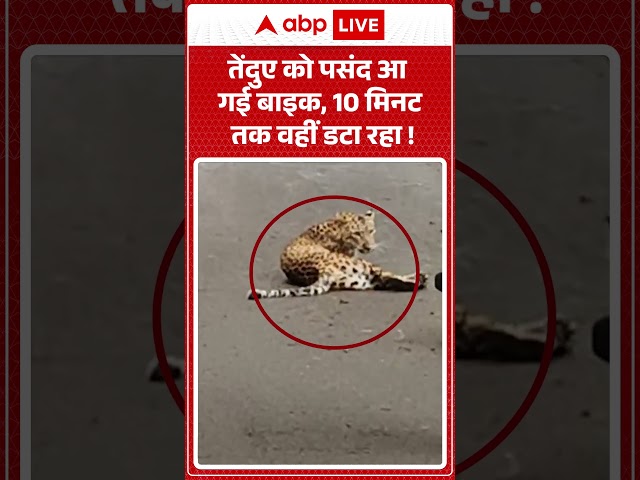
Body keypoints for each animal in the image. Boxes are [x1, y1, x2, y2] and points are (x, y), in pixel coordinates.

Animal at [247, 209, 427, 300]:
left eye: (371, 231)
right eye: (357, 233)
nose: (369, 247)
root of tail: (321, 271)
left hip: (358, 281)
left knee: (383, 282)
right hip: (362, 268)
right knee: (385, 276)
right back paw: (420, 279)